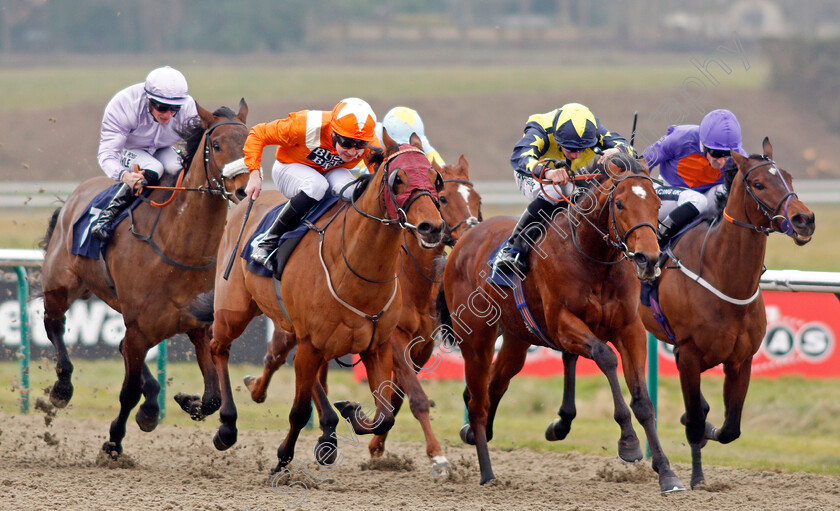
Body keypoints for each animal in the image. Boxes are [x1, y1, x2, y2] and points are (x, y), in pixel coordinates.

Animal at [39, 100, 249, 460]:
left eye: (250, 143)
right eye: (218, 145)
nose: (243, 189)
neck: (178, 248)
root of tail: (75, 195)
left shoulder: (199, 326)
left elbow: (212, 397)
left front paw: (187, 403)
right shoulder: (139, 327)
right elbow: (127, 392)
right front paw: (113, 442)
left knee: (120, 347)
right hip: (61, 285)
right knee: (53, 324)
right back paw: (63, 387)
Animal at [196, 136, 446, 476]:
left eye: (435, 178)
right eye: (398, 179)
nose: (432, 227)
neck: (355, 270)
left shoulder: (377, 346)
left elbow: (385, 414)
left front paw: (350, 410)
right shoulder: (316, 343)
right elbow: (299, 412)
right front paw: (282, 460)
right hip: (233, 312)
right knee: (218, 348)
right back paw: (226, 425)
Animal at [240, 153, 482, 476]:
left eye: (478, 200)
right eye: (443, 198)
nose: (470, 238)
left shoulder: (420, 346)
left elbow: (396, 397)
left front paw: (377, 445)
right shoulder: (395, 339)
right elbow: (416, 397)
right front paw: (437, 456)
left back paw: (325, 433)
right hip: (292, 326)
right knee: (276, 356)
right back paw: (257, 389)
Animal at [436, 154, 684, 494]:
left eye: (658, 203)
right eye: (620, 204)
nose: (648, 259)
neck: (592, 256)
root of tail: (462, 243)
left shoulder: (629, 329)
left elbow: (643, 401)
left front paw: (667, 472)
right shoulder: (563, 324)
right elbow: (606, 357)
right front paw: (629, 442)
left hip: (516, 339)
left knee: (494, 386)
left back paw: (475, 434)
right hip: (476, 340)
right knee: (477, 402)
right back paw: (487, 473)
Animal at [644, 139, 812, 488]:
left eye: (789, 177)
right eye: (759, 184)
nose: (805, 219)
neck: (722, 275)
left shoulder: (740, 359)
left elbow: (728, 428)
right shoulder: (688, 355)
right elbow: (695, 421)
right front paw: (695, 475)